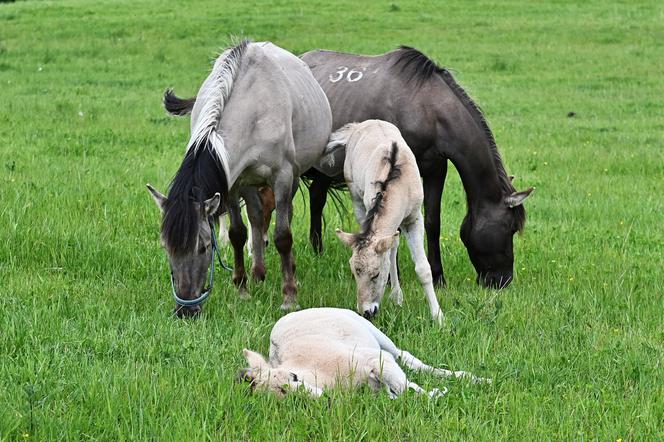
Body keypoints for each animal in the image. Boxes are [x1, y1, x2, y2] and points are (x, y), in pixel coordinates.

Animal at [146, 41, 332, 316]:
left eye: (204, 247)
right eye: (166, 247)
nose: (185, 311)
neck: (252, 109)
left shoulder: (282, 177)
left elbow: (283, 236)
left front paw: (289, 297)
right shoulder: (230, 182)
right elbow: (237, 233)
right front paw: (242, 289)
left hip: (292, 178)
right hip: (249, 183)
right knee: (255, 216)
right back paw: (257, 272)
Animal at [239, 308, 488, 398]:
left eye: (290, 378)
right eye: (283, 396)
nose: (320, 398)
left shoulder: (373, 358)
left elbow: (405, 385)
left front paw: (436, 393)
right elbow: (398, 390)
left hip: (372, 331)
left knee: (405, 356)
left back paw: (475, 379)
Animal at [300, 46, 536, 290]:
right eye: (511, 228)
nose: (503, 281)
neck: (427, 109)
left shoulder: (436, 168)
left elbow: (433, 222)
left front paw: (438, 276)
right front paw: (391, 280)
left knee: (317, 197)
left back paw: (317, 251)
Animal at [324, 119, 444, 322]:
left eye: (376, 274)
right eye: (354, 273)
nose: (366, 312)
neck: (399, 184)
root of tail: (359, 126)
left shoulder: (414, 217)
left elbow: (422, 268)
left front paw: (438, 316)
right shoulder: (369, 209)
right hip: (356, 196)